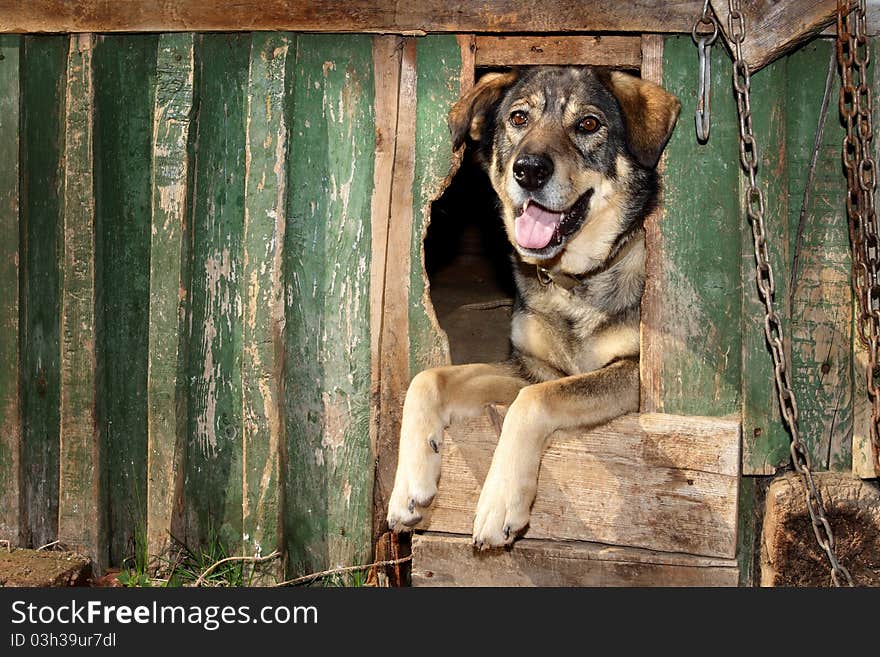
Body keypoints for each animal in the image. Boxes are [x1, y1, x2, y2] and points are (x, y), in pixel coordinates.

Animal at [384, 65, 680, 548]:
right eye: (519, 117)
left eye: (589, 124)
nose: (529, 171)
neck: (573, 284)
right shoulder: (530, 367)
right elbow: (429, 379)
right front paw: (409, 486)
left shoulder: (630, 374)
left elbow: (532, 403)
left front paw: (499, 503)